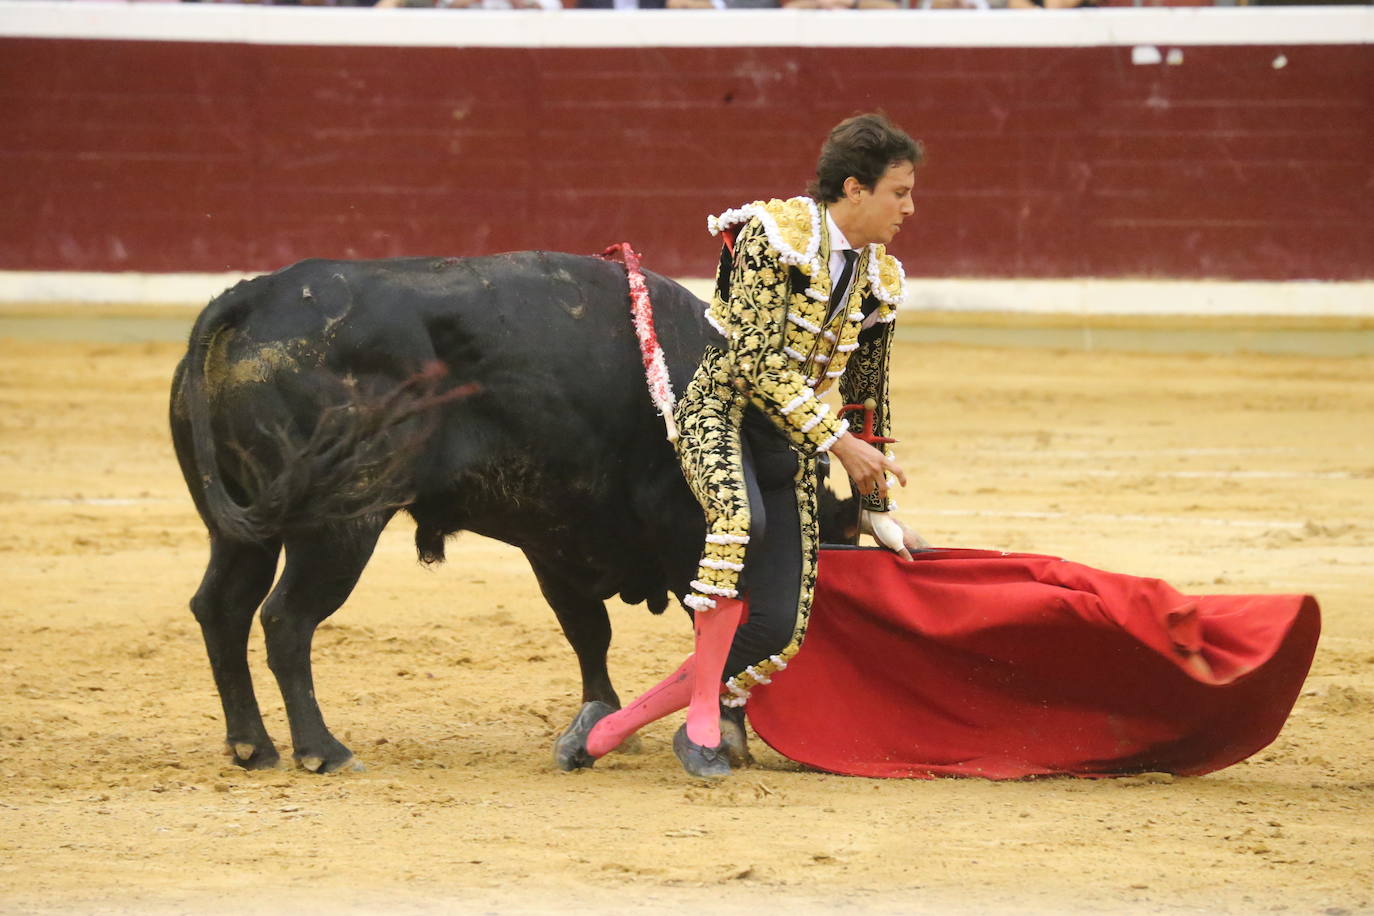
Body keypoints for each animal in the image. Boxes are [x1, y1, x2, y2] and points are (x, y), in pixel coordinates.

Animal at [171, 251, 857, 774]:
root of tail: (253, 296)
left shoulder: (551, 536)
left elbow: (589, 632)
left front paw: (604, 727)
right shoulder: (680, 532)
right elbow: (716, 626)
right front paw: (718, 736)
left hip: (243, 528)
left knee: (221, 607)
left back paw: (252, 746)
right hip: (341, 524)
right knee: (286, 618)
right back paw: (323, 750)